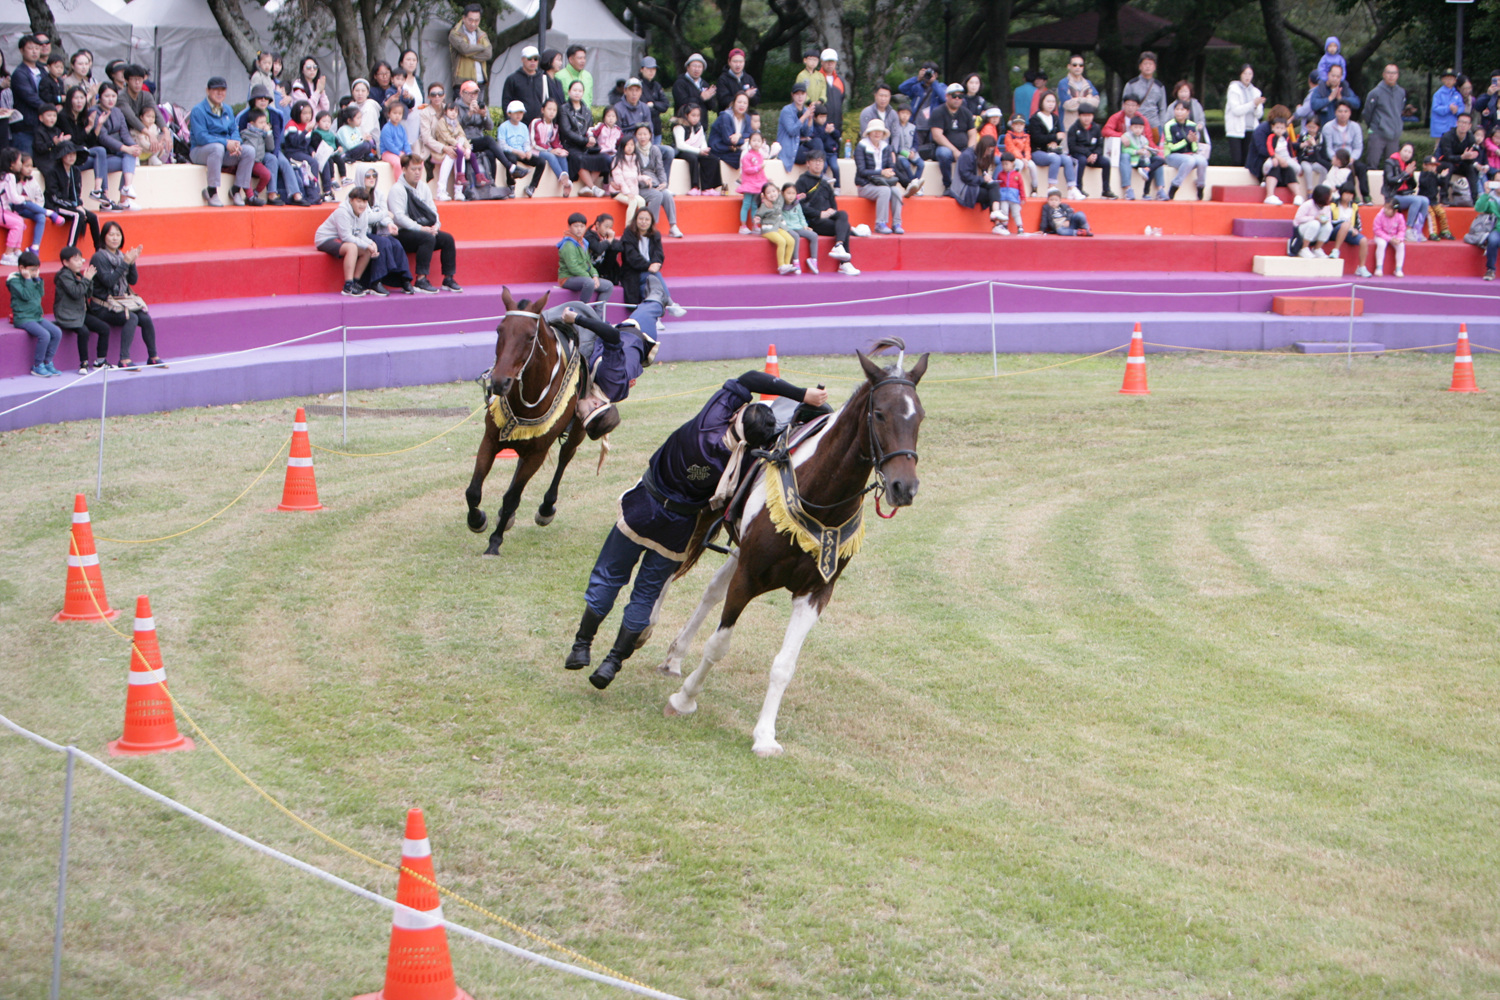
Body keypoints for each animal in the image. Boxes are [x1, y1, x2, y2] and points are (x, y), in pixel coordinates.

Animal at [465, 287, 586, 556]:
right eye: (499, 330)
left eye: (530, 337)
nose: (499, 382)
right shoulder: (490, 439)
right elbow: (473, 491)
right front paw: (477, 520)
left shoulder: (537, 453)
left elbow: (512, 498)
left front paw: (494, 542)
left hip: (579, 429)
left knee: (566, 455)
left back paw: (546, 508)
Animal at [659, 338, 928, 755]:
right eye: (880, 414)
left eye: (920, 418)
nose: (904, 487)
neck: (821, 497)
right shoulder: (748, 577)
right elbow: (719, 645)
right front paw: (685, 699)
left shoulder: (815, 592)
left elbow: (784, 665)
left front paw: (765, 735)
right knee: (669, 573)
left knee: (710, 590)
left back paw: (676, 654)